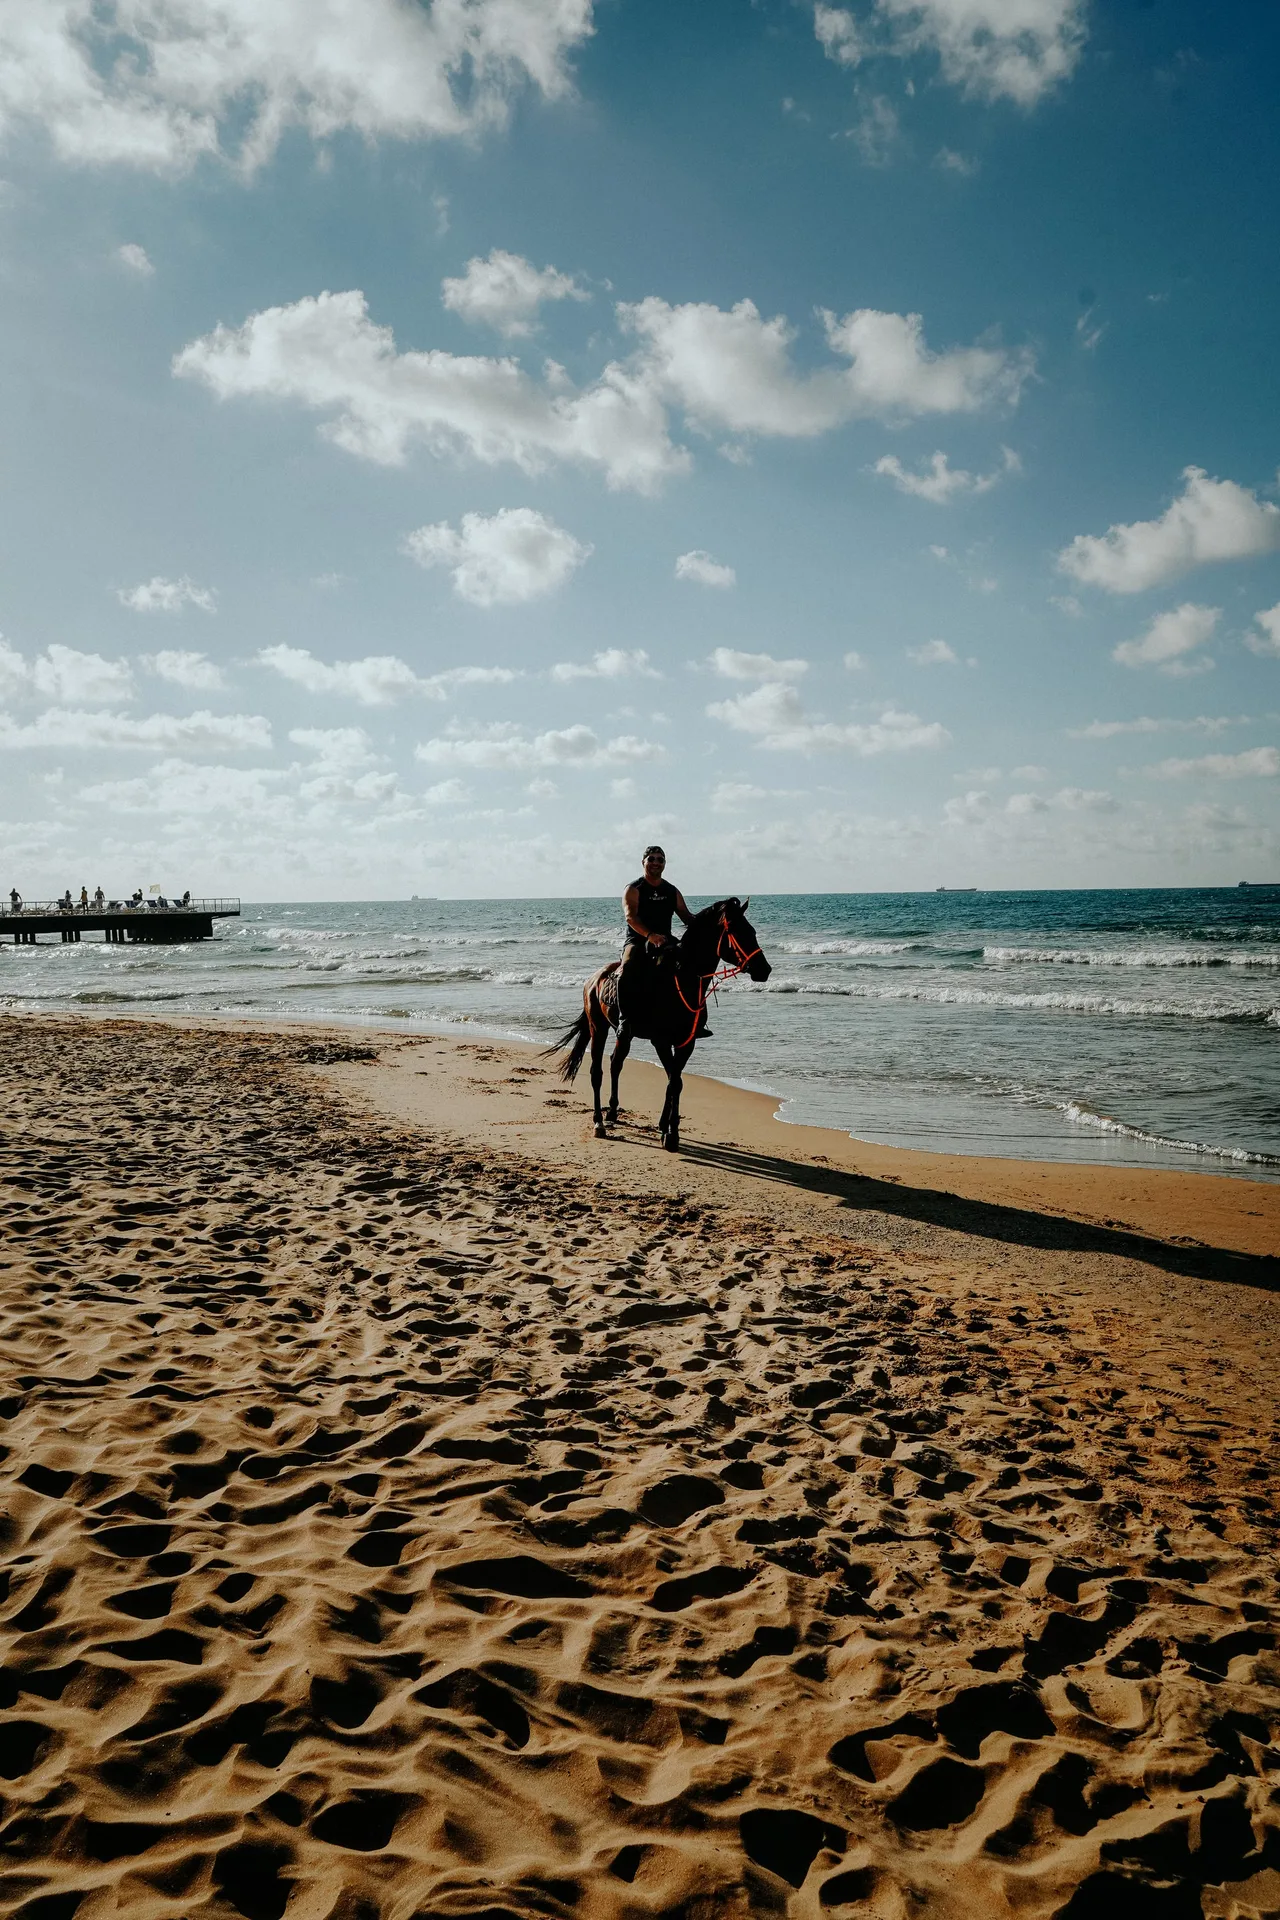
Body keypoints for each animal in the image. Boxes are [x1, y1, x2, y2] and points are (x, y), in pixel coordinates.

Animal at [548, 897, 771, 1152]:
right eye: (737, 931)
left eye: (752, 931)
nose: (764, 969)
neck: (680, 982)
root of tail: (593, 979)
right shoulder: (661, 1041)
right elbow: (674, 1082)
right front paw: (671, 1134)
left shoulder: (687, 1042)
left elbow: (675, 1081)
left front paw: (666, 1127)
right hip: (598, 1028)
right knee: (597, 1071)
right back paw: (599, 1123)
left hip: (624, 1034)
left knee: (616, 1063)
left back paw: (613, 1112)